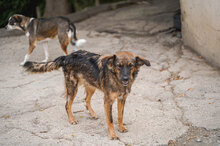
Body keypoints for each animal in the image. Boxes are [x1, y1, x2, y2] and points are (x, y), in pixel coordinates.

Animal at [23, 50, 151, 139]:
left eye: (131, 66)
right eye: (119, 66)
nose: (125, 79)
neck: (116, 78)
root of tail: (66, 56)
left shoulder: (122, 99)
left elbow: (120, 116)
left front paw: (121, 127)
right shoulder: (108, 101)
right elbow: (110, 120)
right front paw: (113, 135)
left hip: (91, 85)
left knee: (86, 100)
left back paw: (92, 114)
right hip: (73, 87)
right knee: (67, 104)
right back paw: (72, 119)